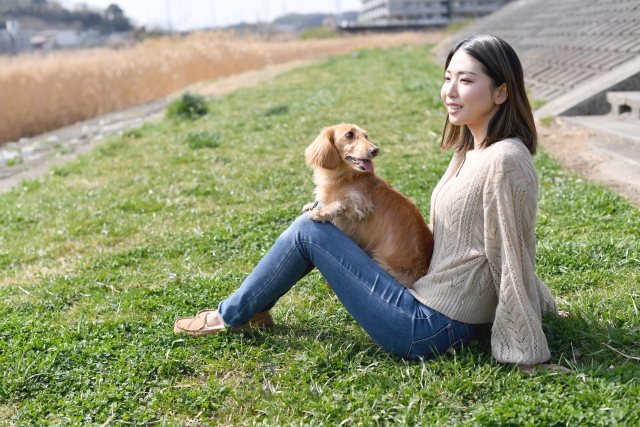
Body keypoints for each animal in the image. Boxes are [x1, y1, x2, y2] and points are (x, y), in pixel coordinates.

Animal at [302, 124, 433, 288]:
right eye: (350, 134)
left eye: (366, 136)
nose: (375, 150)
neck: (344, 177)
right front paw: (310, 205)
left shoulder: (361, 203)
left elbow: (339, 203)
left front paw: (321, 213)